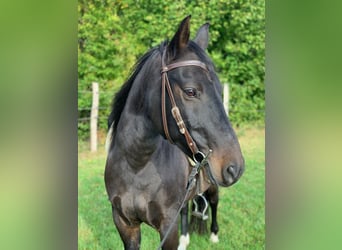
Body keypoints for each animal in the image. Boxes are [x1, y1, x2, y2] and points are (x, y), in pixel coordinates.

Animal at [104, 16, 243, 250]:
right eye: (190, 91)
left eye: (219, 89)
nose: (236, 167)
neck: (136, 166)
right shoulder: (125, 224)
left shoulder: (167, 227)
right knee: (187, 208)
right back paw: (185, 239)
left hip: (213, 186)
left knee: (214, 203)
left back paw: (214, 235)